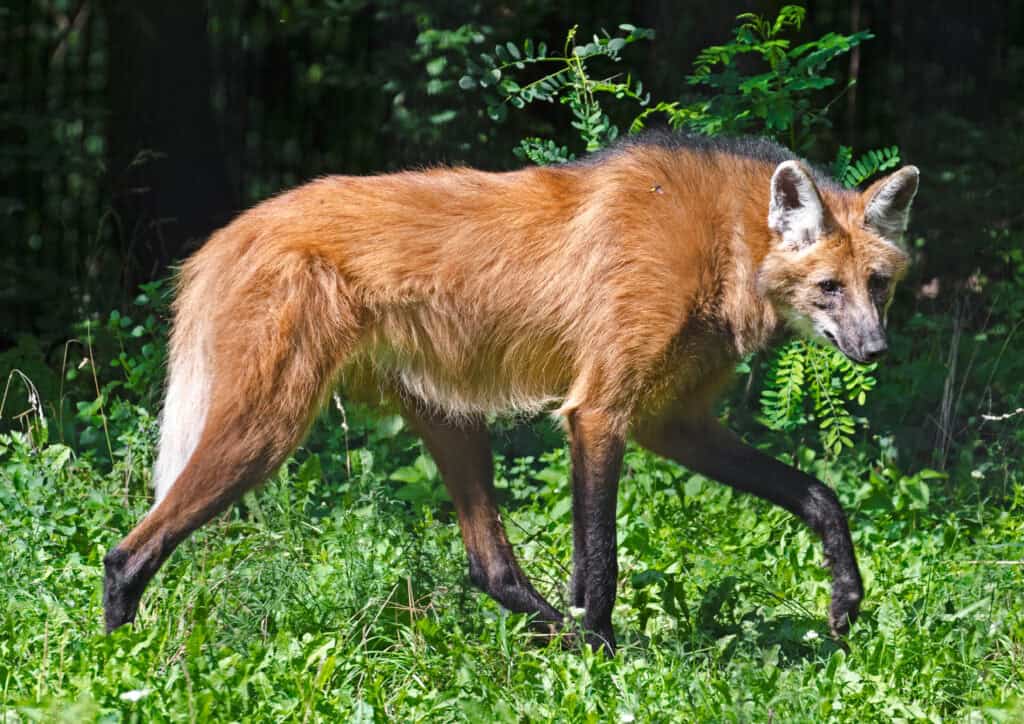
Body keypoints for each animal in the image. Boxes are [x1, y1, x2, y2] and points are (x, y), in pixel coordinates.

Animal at [103, 133, 921, 655]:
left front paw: (845, 601)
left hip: (448, 415)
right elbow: (601, 562)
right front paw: (603, 660)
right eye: (828, 287)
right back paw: (119, 667)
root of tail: (225, 236)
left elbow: (819, 494)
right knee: (127, 552)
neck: (723, 241)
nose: (876, 350)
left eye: (877, 284)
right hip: (267, 427)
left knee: (488, 565)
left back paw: (559, 638)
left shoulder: (672, 422)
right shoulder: (598, 412)